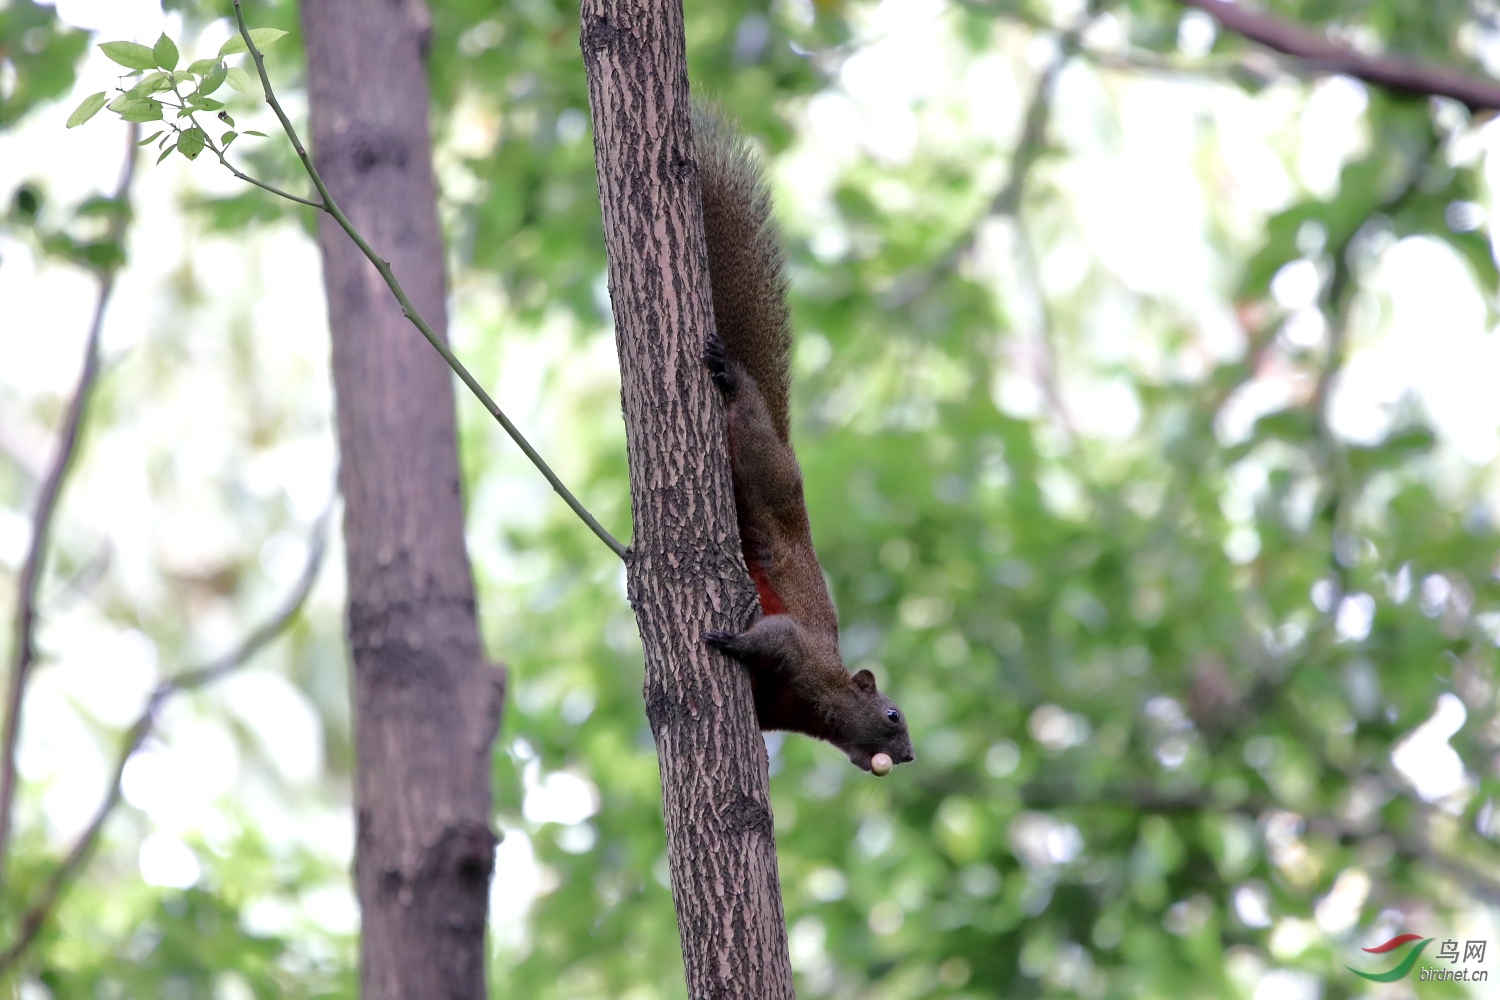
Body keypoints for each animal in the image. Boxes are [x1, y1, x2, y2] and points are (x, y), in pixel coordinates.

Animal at [690, 105, 912, 773]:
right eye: (892, 714)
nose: (908, 756)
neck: (822, 704)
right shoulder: (801, 653)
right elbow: (773, 637)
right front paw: (733, 641)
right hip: (766, 469)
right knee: (750, 425)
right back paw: (734, 379)